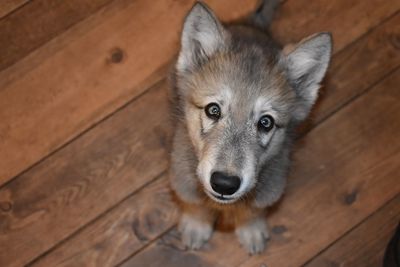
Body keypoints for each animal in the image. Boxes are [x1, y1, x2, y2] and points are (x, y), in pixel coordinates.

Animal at [168, 0, 332, 255]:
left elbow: (252, 212)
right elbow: (195, 206)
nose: (224, 184)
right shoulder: (182, 180)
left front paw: (251, 231)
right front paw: (196, 227)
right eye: (213, 110)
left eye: (266, 122)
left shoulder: (270, 190)